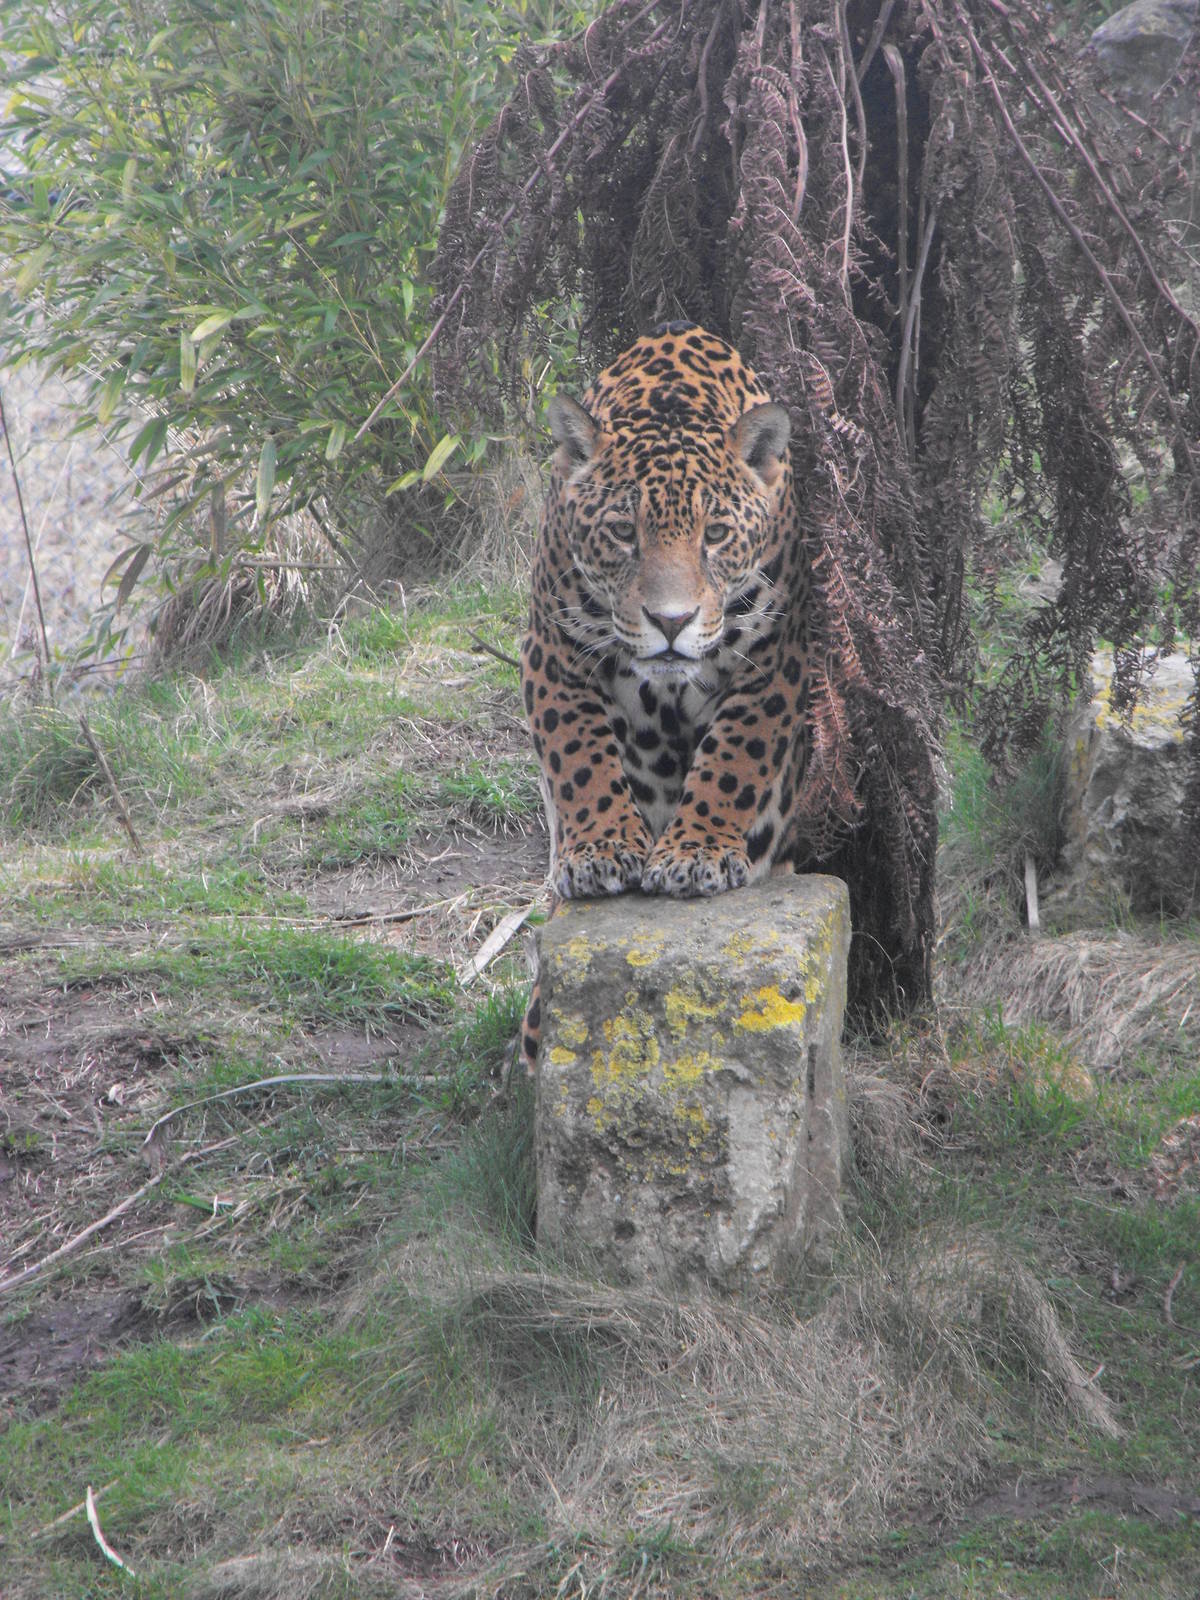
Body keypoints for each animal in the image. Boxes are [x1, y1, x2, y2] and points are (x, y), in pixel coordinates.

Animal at [519, 322, 826, 1070]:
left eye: (714, 535)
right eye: (622, 533)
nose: (671, 621)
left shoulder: (775, 659)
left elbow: (736, 760)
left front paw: (695, 854)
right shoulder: (553, 651)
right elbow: (578, 756)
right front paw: (602, 848)